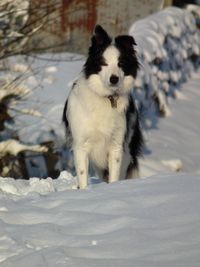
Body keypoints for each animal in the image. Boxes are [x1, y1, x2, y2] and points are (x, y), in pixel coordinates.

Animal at [63, 24, 143, 188]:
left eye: (121, 64)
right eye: (103, 63)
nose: (114, 79)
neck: (106, 98)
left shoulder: (117, 145)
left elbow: (114, 176)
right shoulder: (81, 145)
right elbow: (83, 175)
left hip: (127, 148)